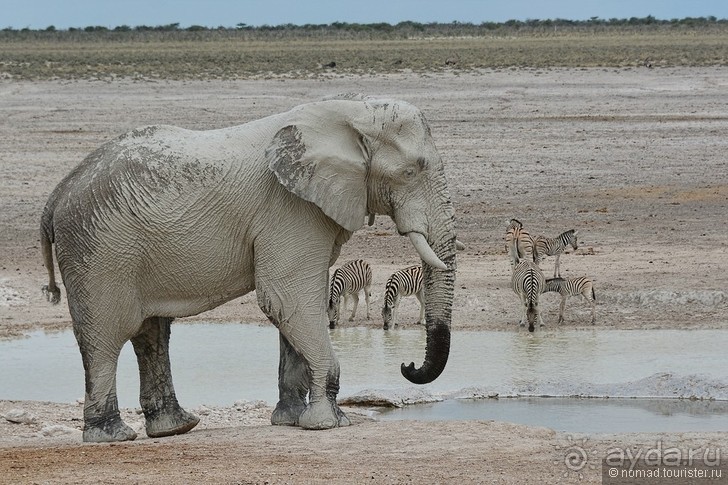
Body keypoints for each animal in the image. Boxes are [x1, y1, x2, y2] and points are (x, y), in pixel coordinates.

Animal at [39, 94, 458, 442]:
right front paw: (329, 423)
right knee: (108, 337)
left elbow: (295, 307)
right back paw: (113, 436)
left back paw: (175, 428)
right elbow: (287, 299)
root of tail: (56, 195)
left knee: (151, 333)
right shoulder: (290, 209)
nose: (406, 364)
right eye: (411, 171)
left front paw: (291, 420)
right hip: (100, 252)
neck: (350, 110)